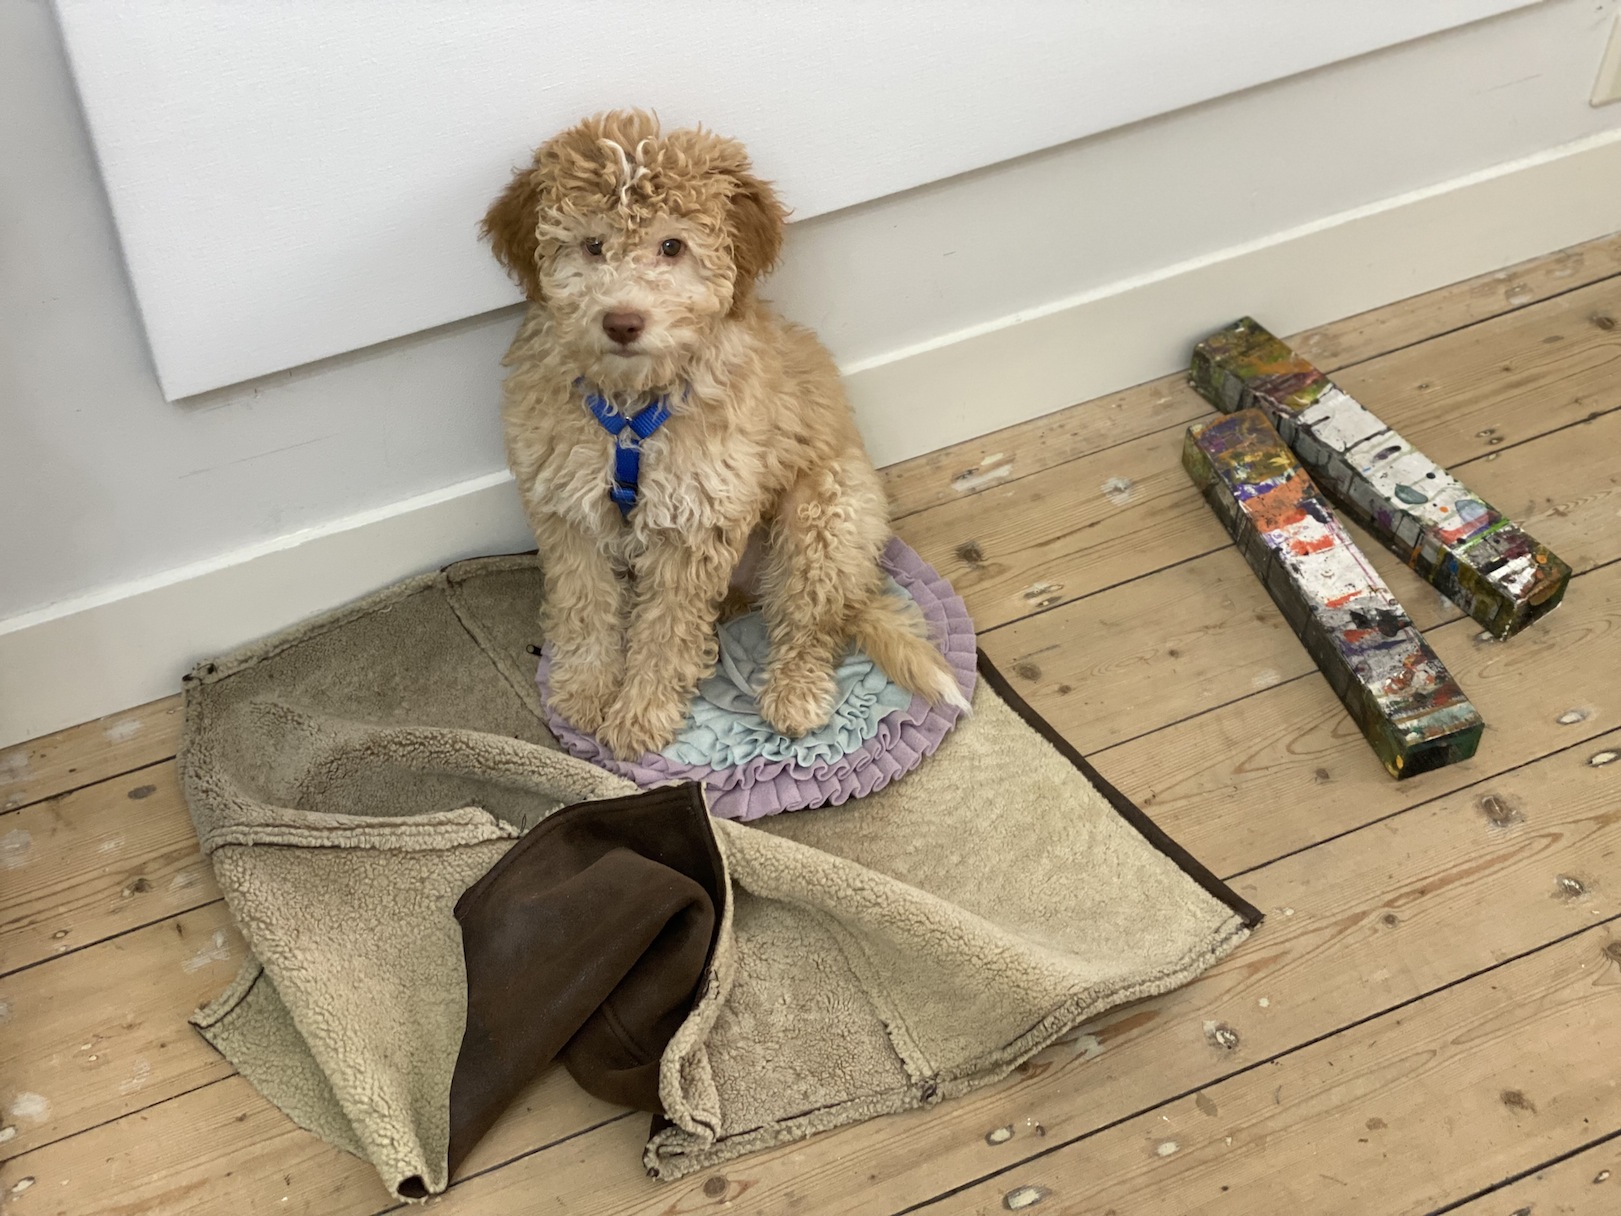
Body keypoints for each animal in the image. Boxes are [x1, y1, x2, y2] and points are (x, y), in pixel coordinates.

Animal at [481, 110, 966, 761]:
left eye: (672, 246)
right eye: (592, 244)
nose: (623, 321)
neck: (632, 409)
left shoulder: (694, 525)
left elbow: (666, 635)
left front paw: (640, 717)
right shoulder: (569, 513)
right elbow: (585, 607)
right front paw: (585, 693)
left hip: (826, 520)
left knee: (811, 621)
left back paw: (794, 693)